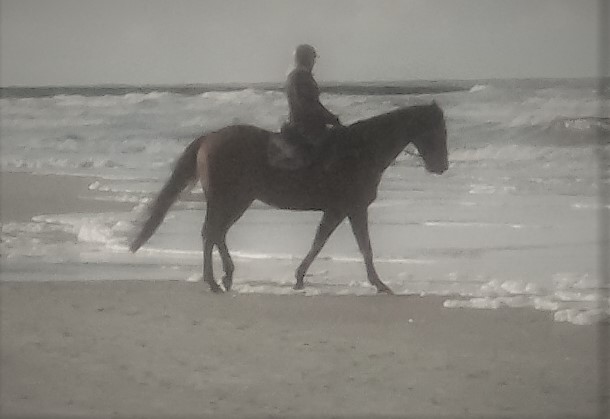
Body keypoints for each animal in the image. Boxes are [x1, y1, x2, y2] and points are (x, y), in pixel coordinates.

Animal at [129, 101, 446, 296]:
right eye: (437, 131)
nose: (441, 166)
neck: (362, 150)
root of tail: (210, 137)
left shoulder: (338, 210)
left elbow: (320, 243)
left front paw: (300, 277)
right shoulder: (352, 208)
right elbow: (362, 247)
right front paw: (380, 285)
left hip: (238, 200)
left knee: (216, 233)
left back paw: (226, 277)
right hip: (228, 199)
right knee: (211, 233)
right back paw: (215, 281)